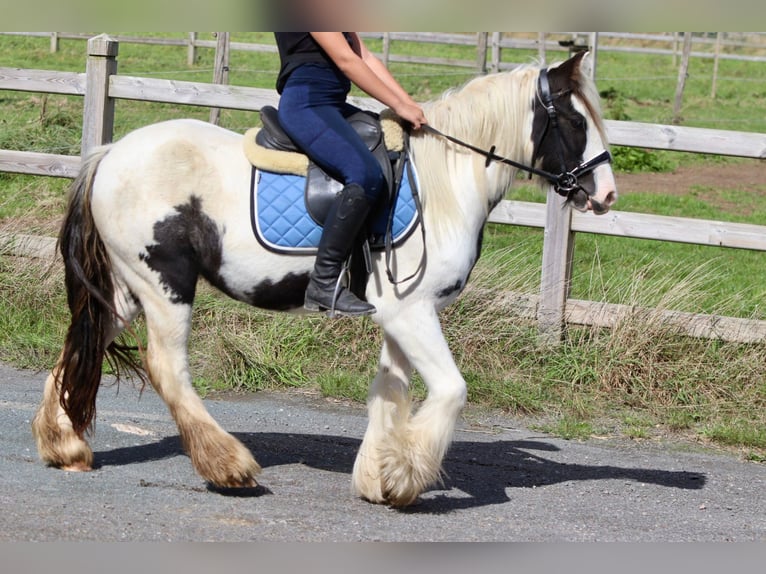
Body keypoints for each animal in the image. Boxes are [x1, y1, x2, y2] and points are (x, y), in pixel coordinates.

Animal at [31, 50, 616, 508]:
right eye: (575, 122)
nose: (607, 196)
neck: (444, 182)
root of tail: (110, 154)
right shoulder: (412, 312)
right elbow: (451, 389)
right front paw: (406, 477)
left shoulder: (399, 315)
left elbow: (389, 392)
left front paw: (380, 476)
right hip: (165, 284)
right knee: (166, 368)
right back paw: (228, 466)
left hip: (128, 290)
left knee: (81, 342)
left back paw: (65, 445)